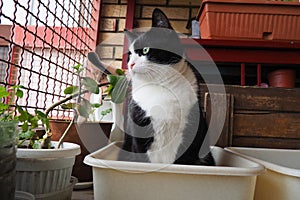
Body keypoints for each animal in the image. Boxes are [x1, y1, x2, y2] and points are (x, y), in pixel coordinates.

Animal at [118, 8, 214, 166]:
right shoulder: (138, 128)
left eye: (145, 50)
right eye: (130, 55)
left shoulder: (191, 129)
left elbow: (182, 161)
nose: (130, 64)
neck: (161, 85)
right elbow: (142, 159)